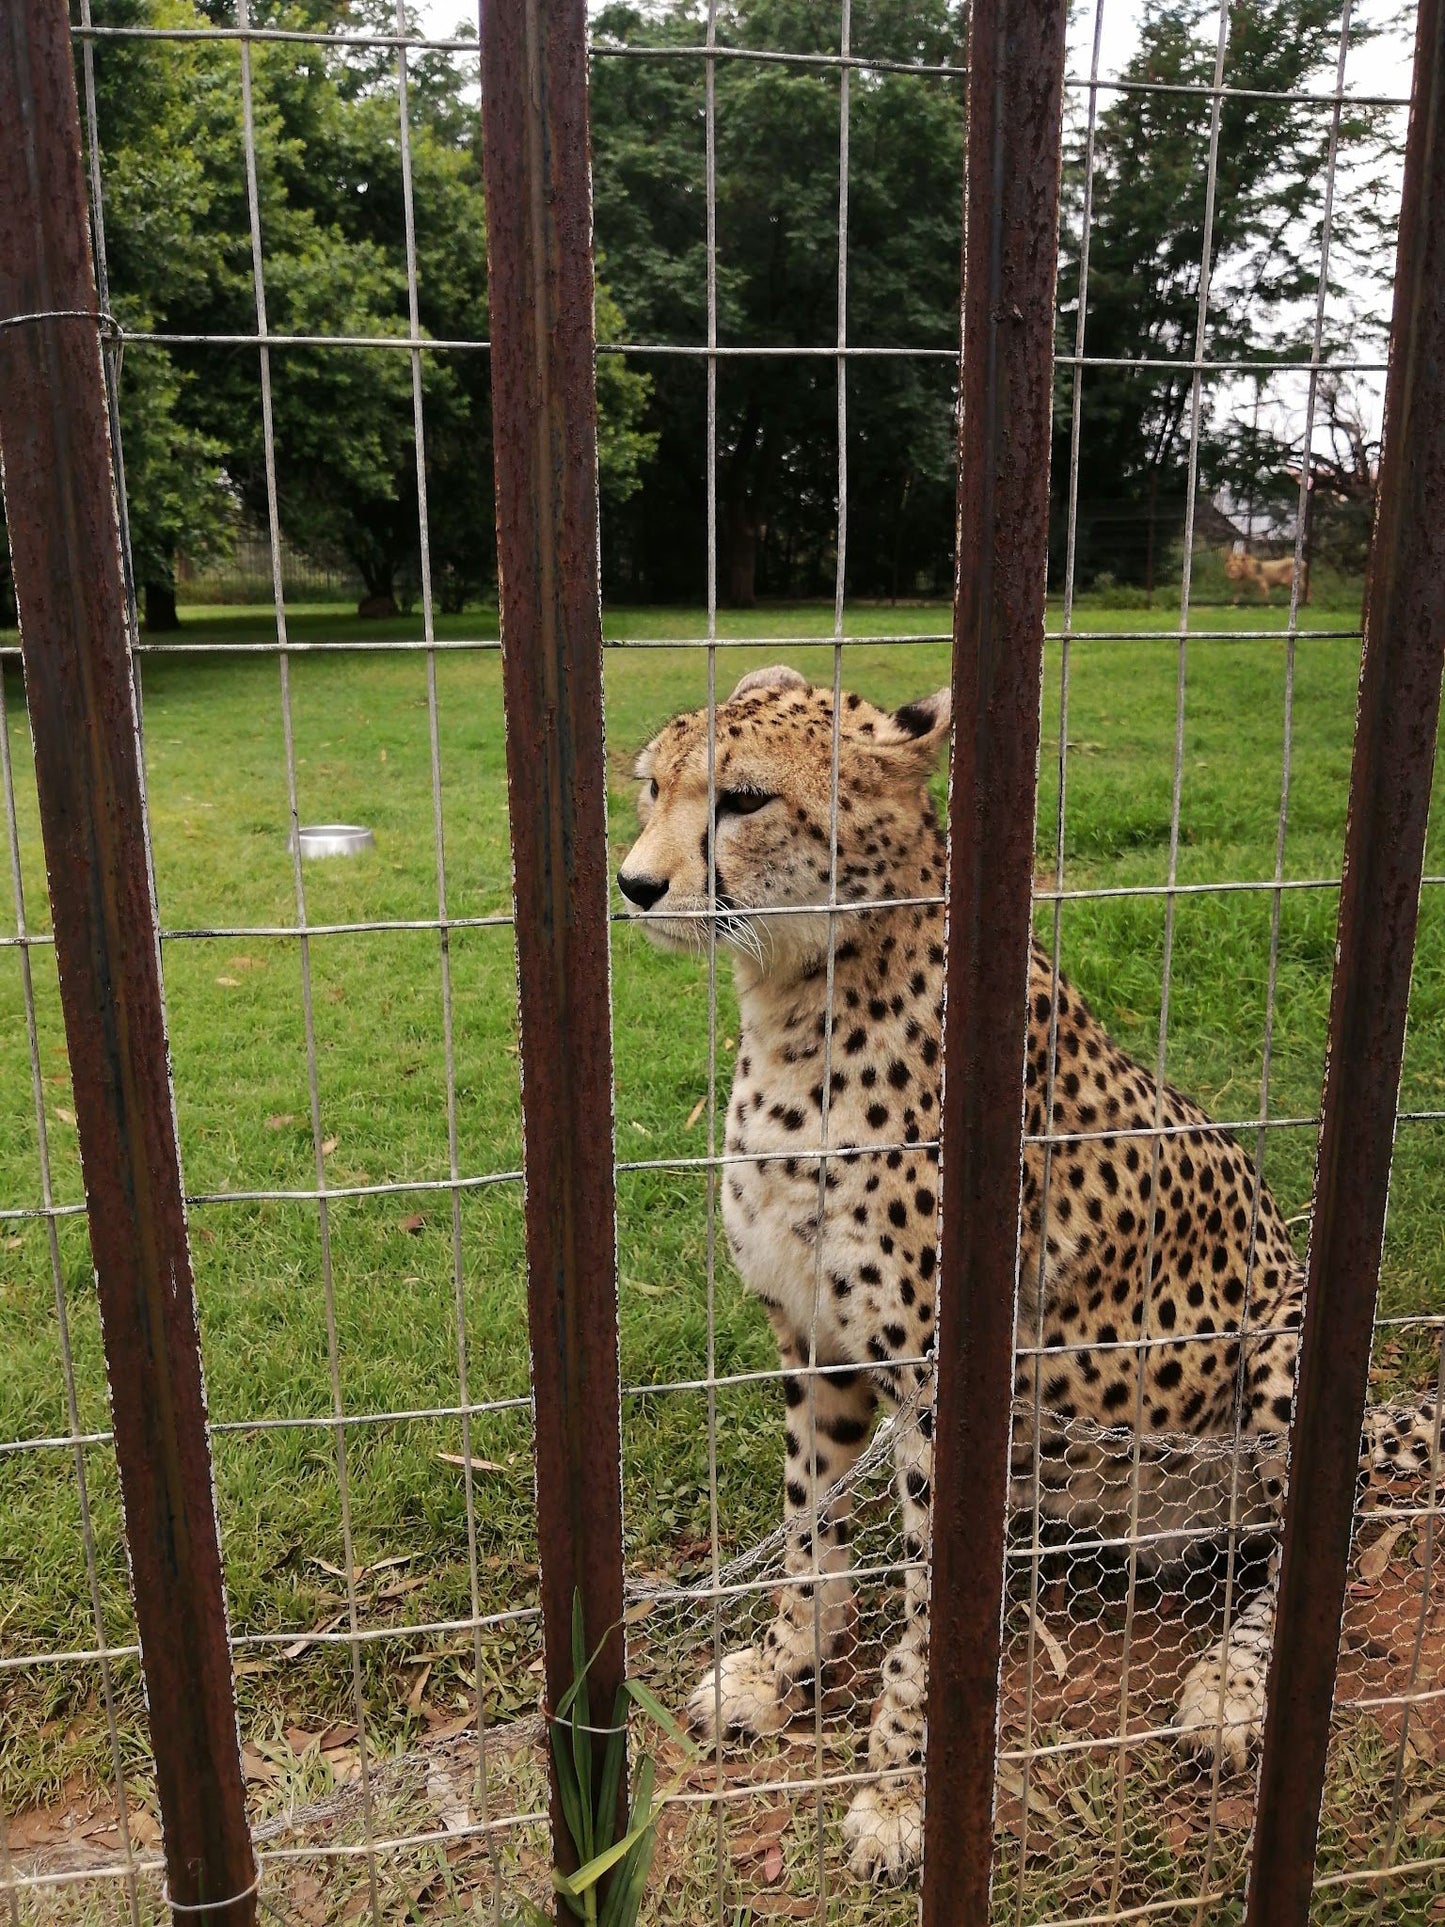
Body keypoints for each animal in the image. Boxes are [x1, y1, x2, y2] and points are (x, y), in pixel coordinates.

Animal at [616, 666, 1441, 1880]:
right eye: (651, 788)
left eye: (744, 799)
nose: (634, 885)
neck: (800, 994)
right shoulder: (814, 1345)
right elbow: (807, 1525)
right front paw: (780, 1663)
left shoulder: (943, 1390)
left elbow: (930, 1615)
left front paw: (898, 1791)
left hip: (1285, 1342)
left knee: (1303, 1548)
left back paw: (1230, 1688)